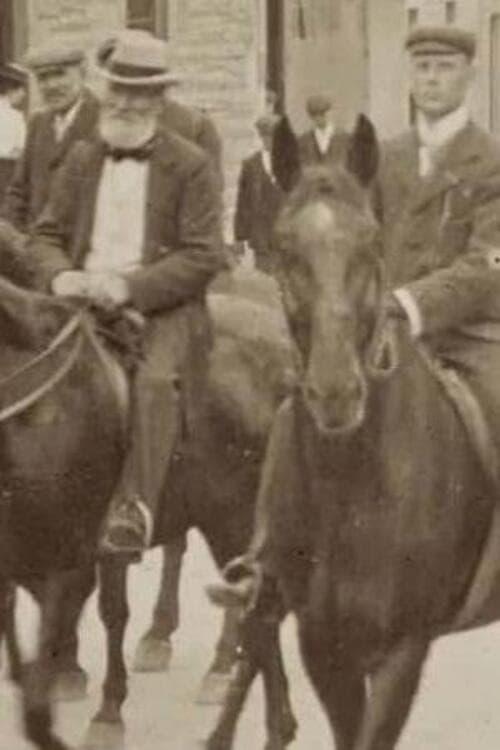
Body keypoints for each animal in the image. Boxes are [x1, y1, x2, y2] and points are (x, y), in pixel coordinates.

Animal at [211, 119, 496, 750]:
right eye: (285, 247)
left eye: (370, 242)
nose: (335, 392)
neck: (350, 480)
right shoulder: (324, 647)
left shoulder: (402, 653)